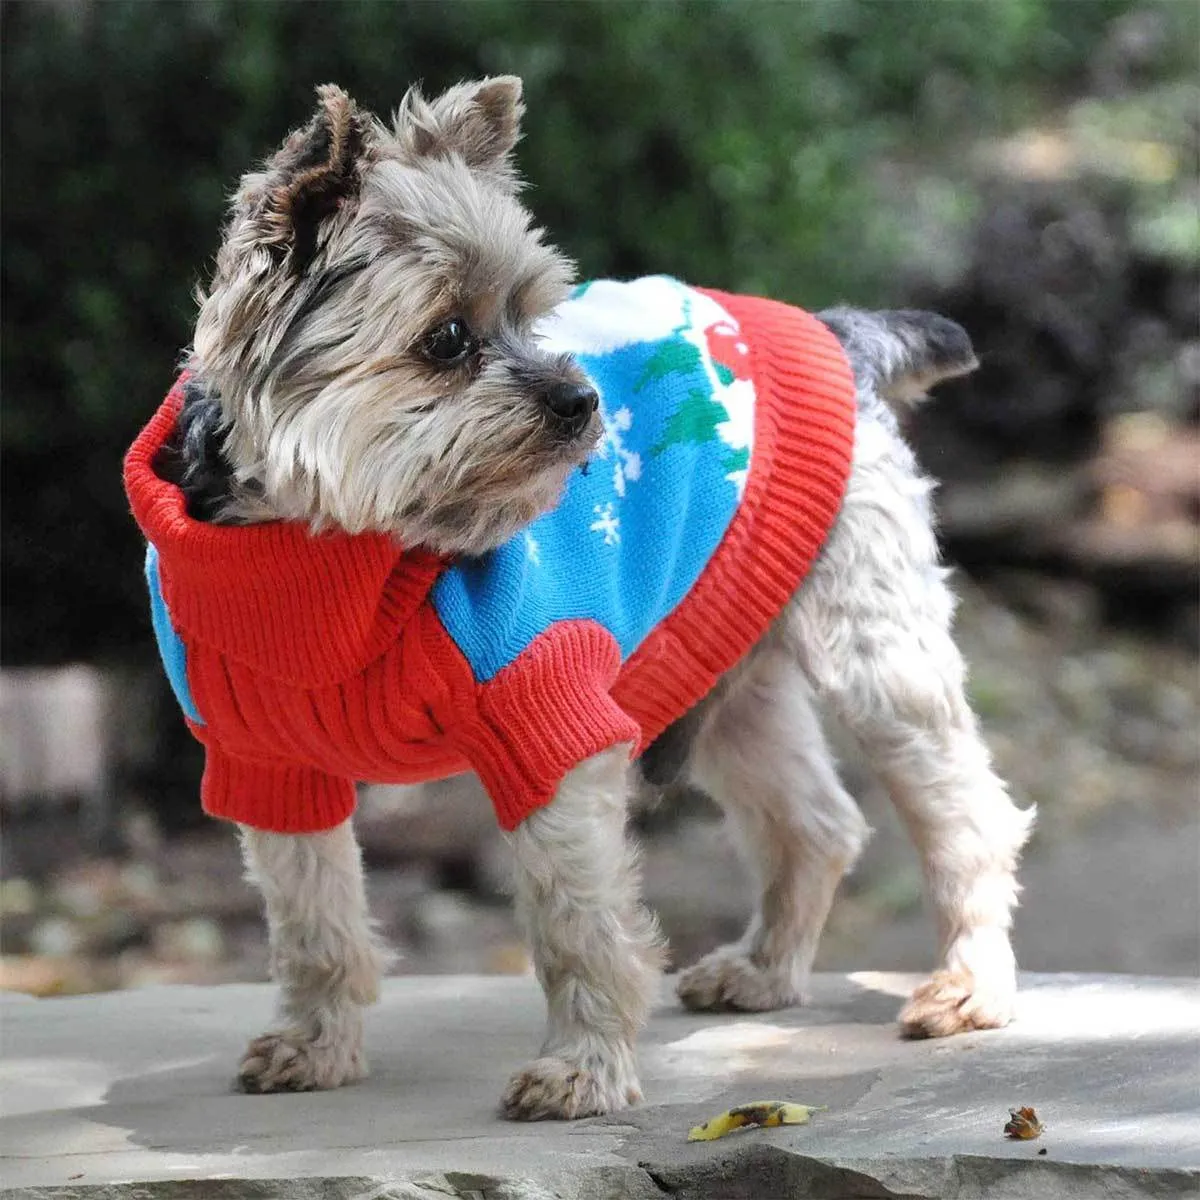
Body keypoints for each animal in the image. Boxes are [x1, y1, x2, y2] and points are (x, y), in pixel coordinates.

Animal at [129, 79, 1032, 1118]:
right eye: (447, 339)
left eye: (534, 315)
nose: (582, 401)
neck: (333, 547)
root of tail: (841, 334)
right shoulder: (265, 757)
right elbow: (309, 917)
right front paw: (316, 1046)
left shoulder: (547, 715)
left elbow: (579, 924)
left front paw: (582, 1070)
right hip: (718, 659)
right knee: (816, 821)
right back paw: (763, 972)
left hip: (872, 650)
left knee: (964, 812)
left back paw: (967, 988)